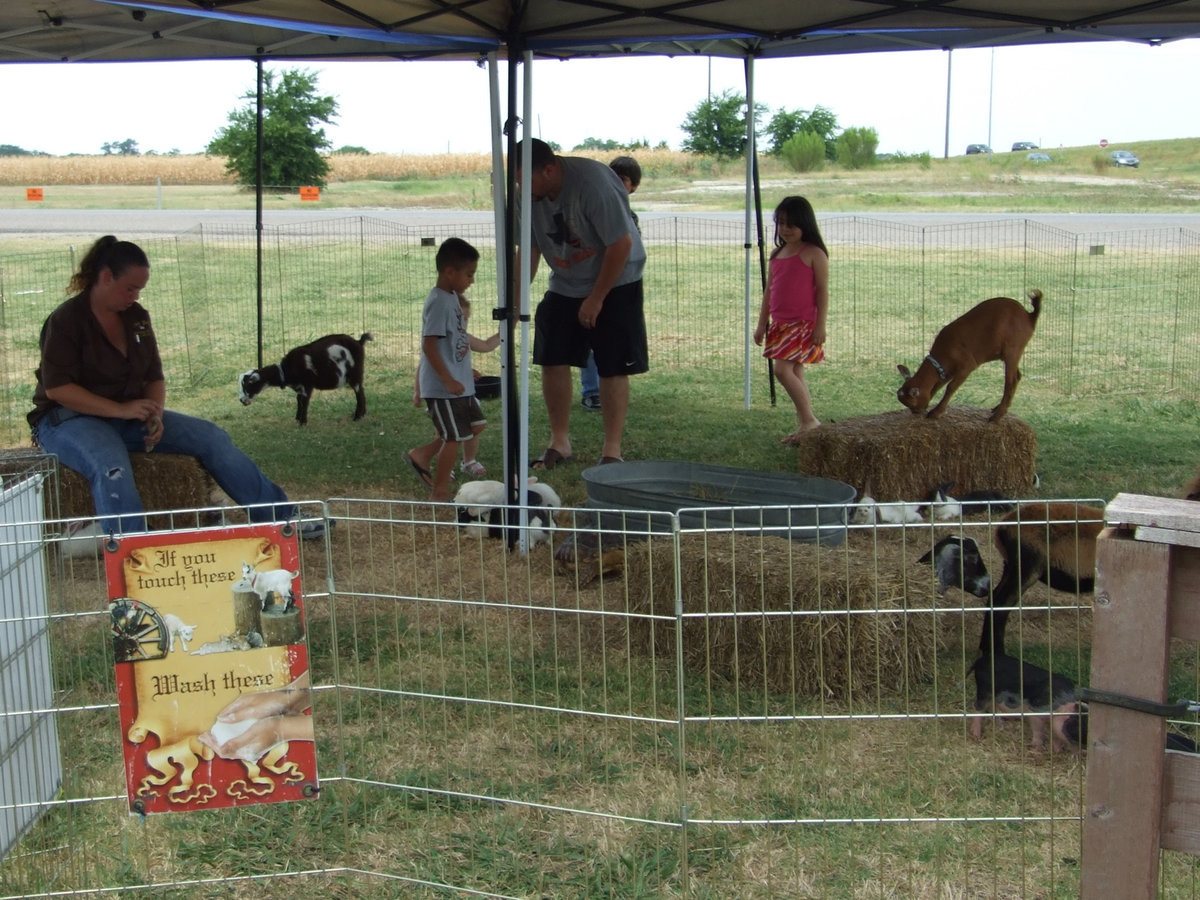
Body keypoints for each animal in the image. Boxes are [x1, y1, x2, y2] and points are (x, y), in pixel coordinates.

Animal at [237, 333, 369, 427]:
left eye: (247, 386)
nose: (242, 401)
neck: (285, 370)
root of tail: (359, 342)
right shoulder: (300, 387)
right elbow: (299, 400)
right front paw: (297, 418)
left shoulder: (307, 385)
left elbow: (304, 402)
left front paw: (302, 423)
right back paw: (362, 415)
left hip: (355, 373)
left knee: (359, 394)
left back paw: (357, 417)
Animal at [902, 292, 1041, 427]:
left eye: (912, 403)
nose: (916, 412)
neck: (945, 350)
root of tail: (1029, 316)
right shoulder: (948, 370)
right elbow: (939, 384)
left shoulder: (967, 365)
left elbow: (951, 387)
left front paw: (935, 413)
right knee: (1017, 376)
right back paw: (999, 408)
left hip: (1013, 349)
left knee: (1011, 381)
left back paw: (996, 416)